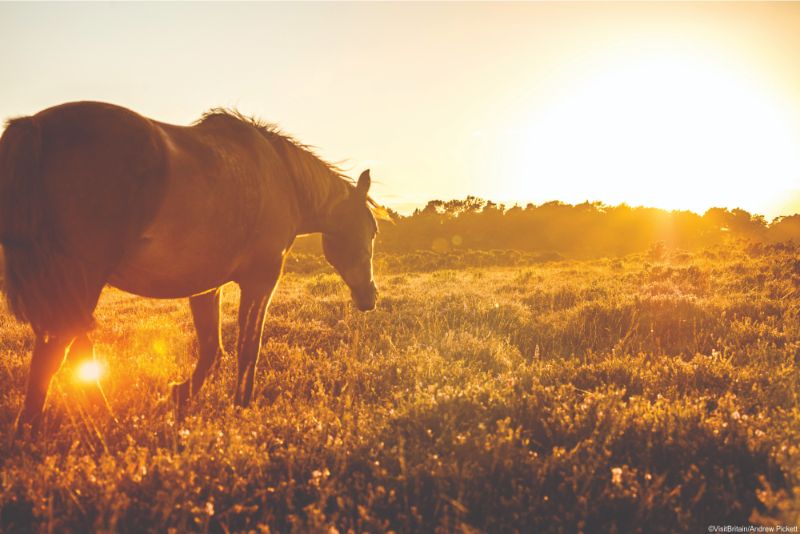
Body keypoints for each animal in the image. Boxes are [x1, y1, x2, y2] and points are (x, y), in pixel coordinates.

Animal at [0, 101, 390, 437]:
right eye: (372, 230)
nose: (369, 297)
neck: (280, 176)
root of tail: (36, 126)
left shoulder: (206, 287)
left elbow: (211, 347)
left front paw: (180, 394)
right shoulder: (261, 280)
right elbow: (248, 347)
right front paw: (241, 406)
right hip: (79, 281)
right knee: (56, 352)